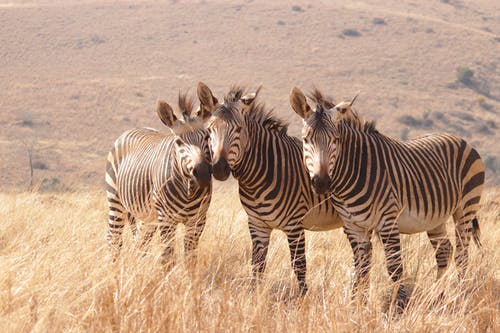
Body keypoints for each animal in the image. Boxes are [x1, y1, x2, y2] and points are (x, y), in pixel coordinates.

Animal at [104, 94, 212, 264]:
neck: (189, 190)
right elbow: (167, 257)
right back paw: (112, 266)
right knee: (113, 238)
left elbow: (190, 257)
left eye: (207, 137)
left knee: (140, 241)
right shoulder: (166, 220)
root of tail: (134, 128)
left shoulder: (198, 220)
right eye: (179, 142)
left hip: (148, 216)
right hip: (115, 201)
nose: (202, 173)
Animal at [196, 81, 344, 294]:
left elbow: (299, 266)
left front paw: (303, 299)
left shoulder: (294, 225)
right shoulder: (257, 224)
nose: (219, 168)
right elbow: (257, 265)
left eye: (238, 129)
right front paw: (255, 296)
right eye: (209, 131)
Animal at [290, 87, 484, 310]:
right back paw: (437, 297)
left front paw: (399, 306)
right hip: (436, 217)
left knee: (462, 255)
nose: (321, 183)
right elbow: (361, 268)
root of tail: (461, 139)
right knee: (444, 250)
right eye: (306, 140)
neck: (355, 171)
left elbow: (394, 268)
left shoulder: (388, 221)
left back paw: (461, 296)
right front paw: (357, 306)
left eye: (336, 140)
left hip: (466, 208)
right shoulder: (353, 226)